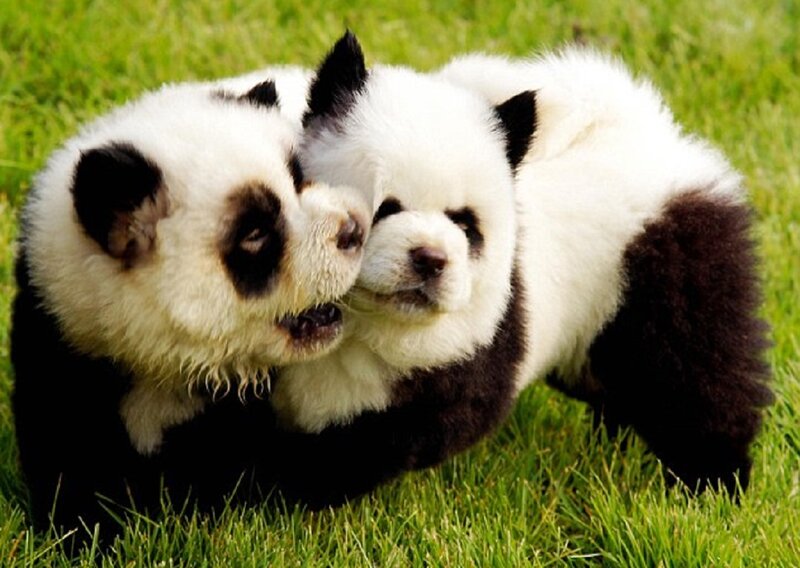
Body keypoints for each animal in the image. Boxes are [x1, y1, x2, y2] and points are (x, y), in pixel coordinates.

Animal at [11, 76, 370, 536]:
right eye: (254, 234)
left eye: (300, 179)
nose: (354, 230)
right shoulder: (61, 331)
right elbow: (66, 447)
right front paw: (82, 528)